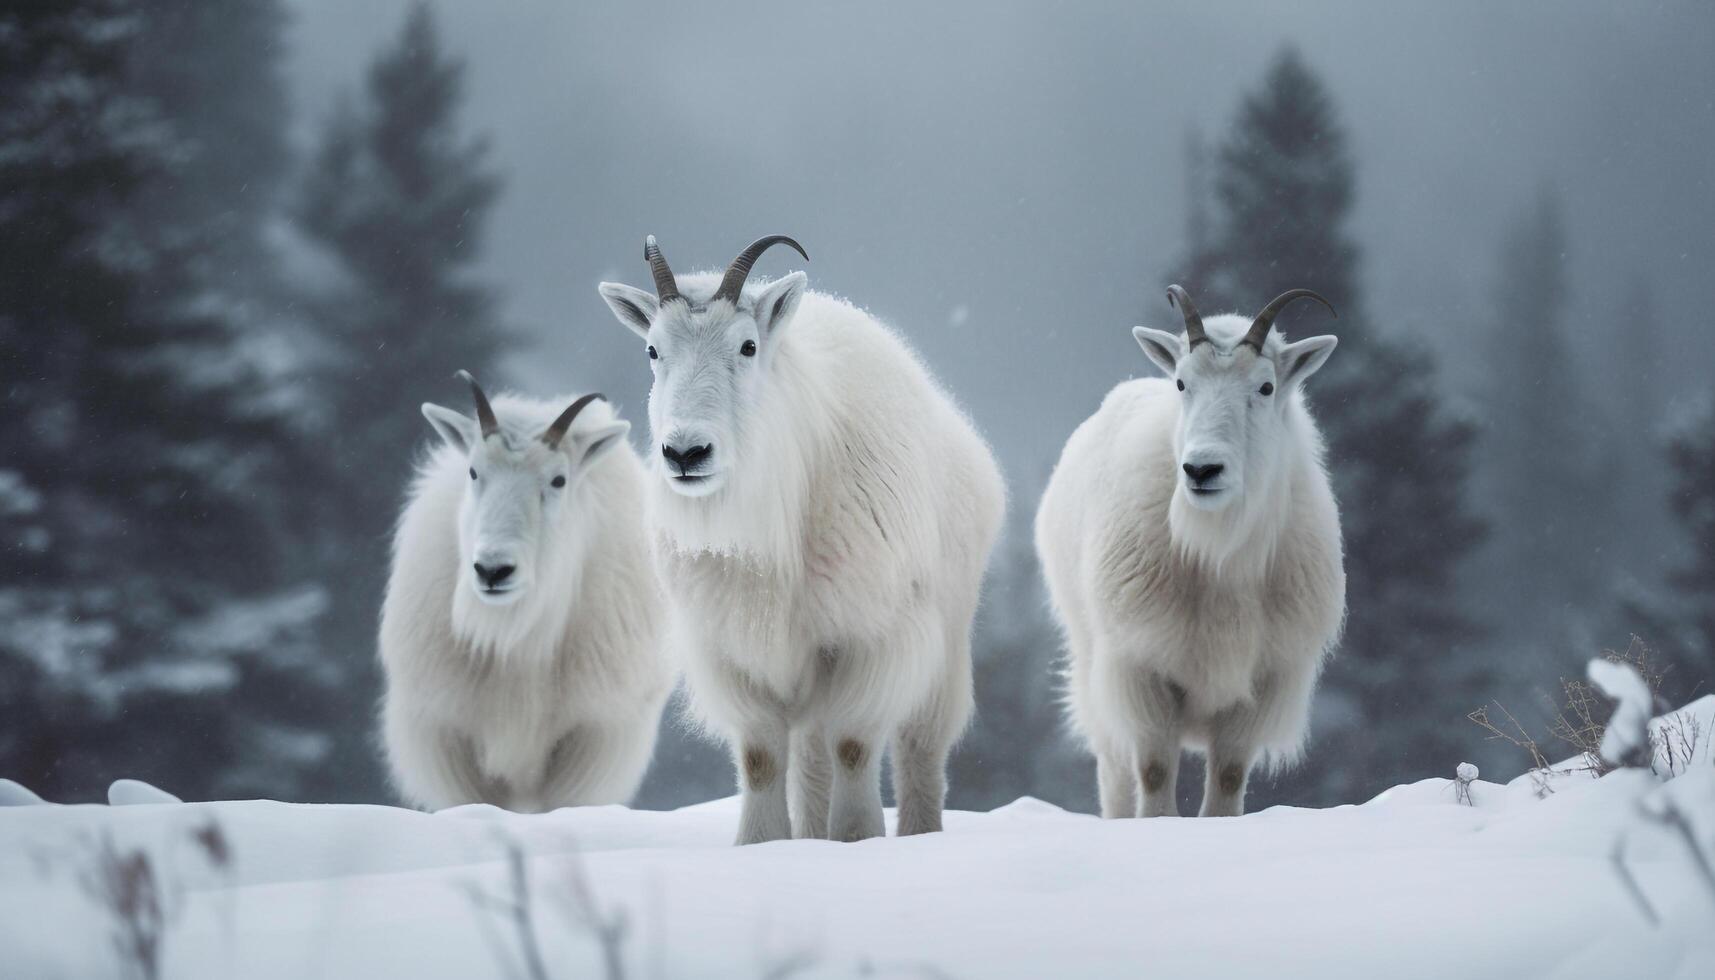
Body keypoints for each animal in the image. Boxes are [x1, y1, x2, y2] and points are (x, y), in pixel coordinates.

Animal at [380, 374, 668, 813]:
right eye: (474, 471)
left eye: (558, 479)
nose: (493, 570)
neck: (514, 638)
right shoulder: (449, 732)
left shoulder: (593, 734)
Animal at [600, 235, 1001, 844]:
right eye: (652, 349)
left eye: (747, 346)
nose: (687, 452)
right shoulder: (736, 652)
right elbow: (762, 757)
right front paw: (762, 844)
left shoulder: (872, 636)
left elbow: (855, 745)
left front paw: (857, 838)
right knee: (810, 756)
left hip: (943, 645)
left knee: (919, 747)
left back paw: (919, 833)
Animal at [1035, 284, 1344, 820]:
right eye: (1182, 382)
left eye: (1266, 387)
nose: (1202, 469)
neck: (1218, 554)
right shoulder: (1141, 667)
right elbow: (1155, 772)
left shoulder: (1262, 680)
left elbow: (1228, 777)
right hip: (1093, 659)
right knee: (1114, 770)